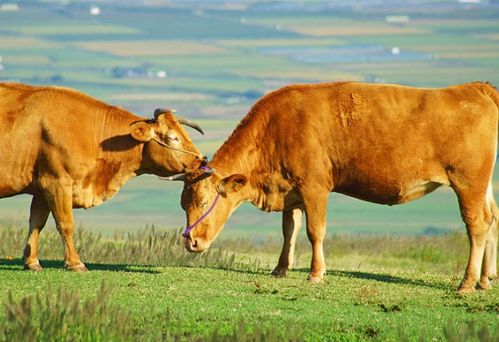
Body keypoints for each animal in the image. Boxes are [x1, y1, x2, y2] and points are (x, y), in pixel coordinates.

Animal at [0, 81, 205, 272]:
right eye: (173, 137)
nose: (202, 159)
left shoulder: (42, 188)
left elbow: (36, 223)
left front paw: (31, 261)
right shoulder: (57, 182)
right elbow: (65, 224)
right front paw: (75, 262)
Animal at [181, 81, 499, 292]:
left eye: (204, 200)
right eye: (184, 202)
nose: (190, 241)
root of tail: (474, 88)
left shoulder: (314, 187)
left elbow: (315, 231)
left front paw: (315, 273)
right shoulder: (290, 191)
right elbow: (289, 231)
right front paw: (280, 268)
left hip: (468, 182)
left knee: (477, 224)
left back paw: (467, 283)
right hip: (484, 185)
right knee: (493, 219)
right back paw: (486, 279)